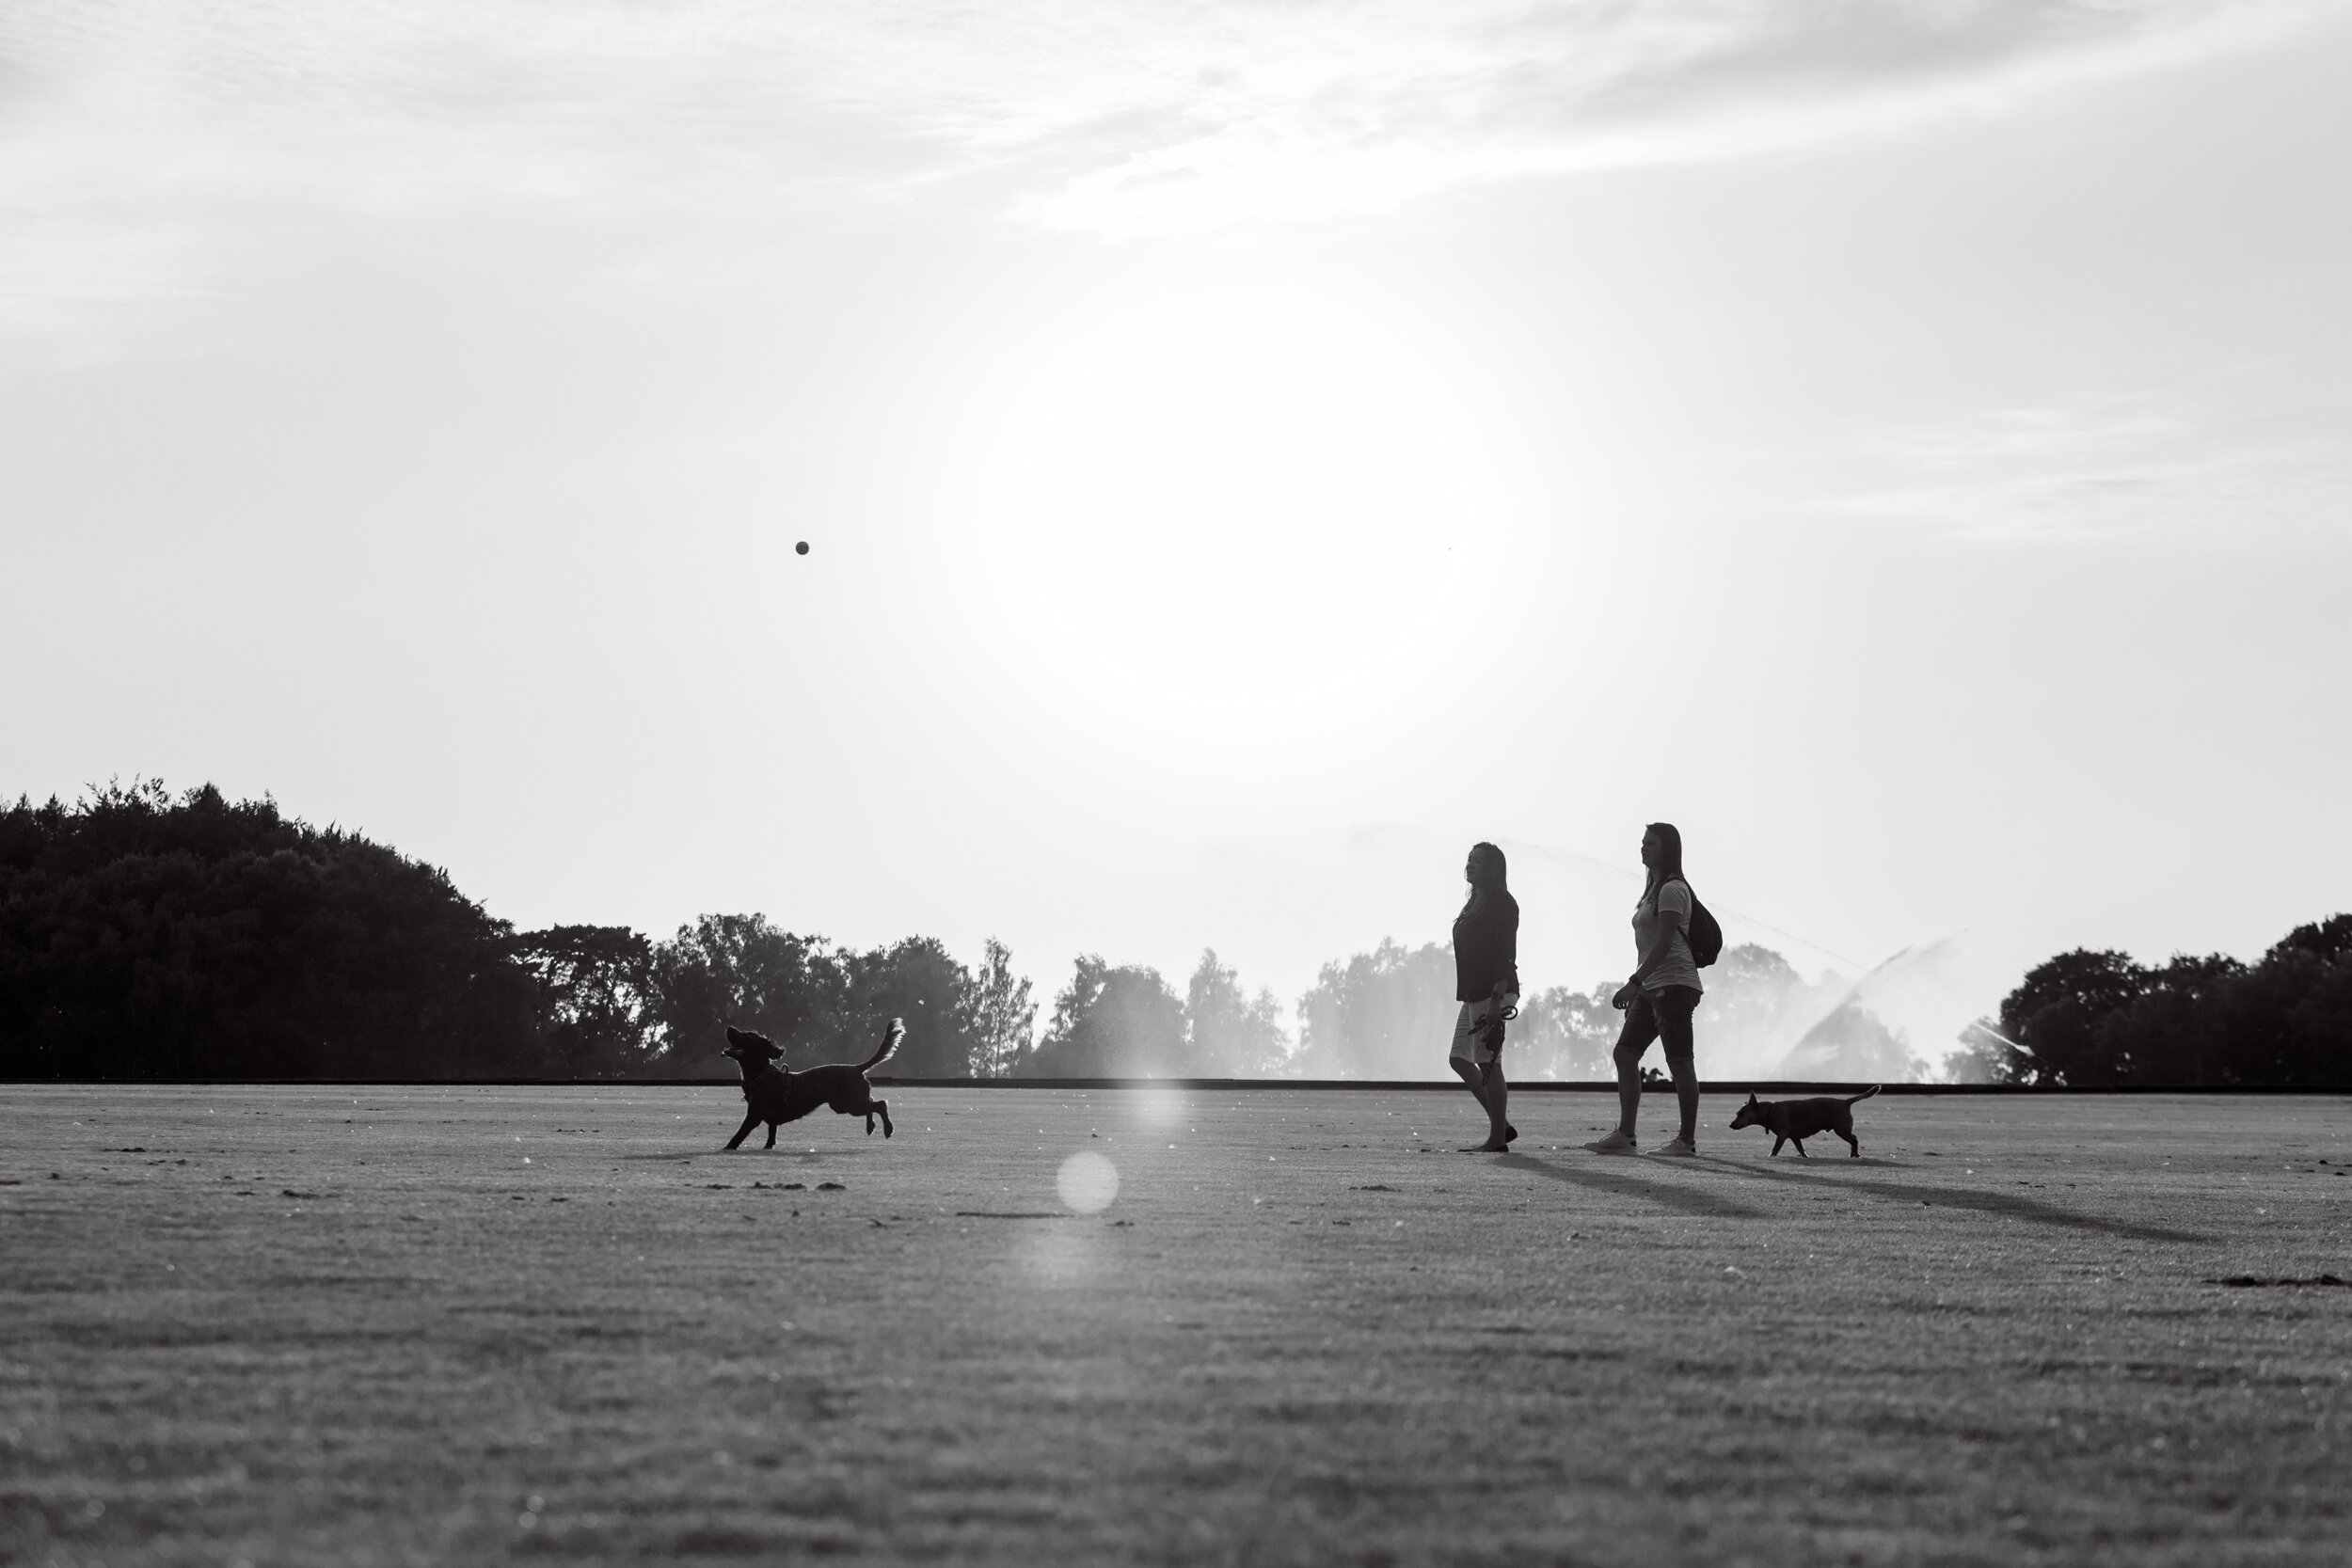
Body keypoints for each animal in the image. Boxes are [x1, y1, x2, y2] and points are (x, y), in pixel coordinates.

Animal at [715, 1020, 898, 1151]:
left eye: (748, 1037)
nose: (729, 1027)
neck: (762, 1076)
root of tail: (857, 1068)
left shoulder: (754, 1114)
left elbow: (740, 1133)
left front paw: (728, 1147)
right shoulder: (769, 1117)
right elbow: (772, 1132)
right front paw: (768, 1146)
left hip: (848, 1104)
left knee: (880, 1104)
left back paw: (888, 1129)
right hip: (846, 1103)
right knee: (872, 1103)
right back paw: (870, 1126)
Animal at [1722, 1085, 1882, 1161]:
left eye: (1741, 1114)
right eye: (1737, 1114)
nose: (1730, 1125)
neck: (1770, 1110)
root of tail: (1845, 1101)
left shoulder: (1782, 1135)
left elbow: (1775, 1149)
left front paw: (1771, 1156)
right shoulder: (1795, 1137)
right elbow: (1801, 1150)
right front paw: (1806, 1157)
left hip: (1841, 1129)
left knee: (1854, 1140)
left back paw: (1854, 1154)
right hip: (1842, 1129)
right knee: (1854, 1138)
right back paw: (1854, 1154)